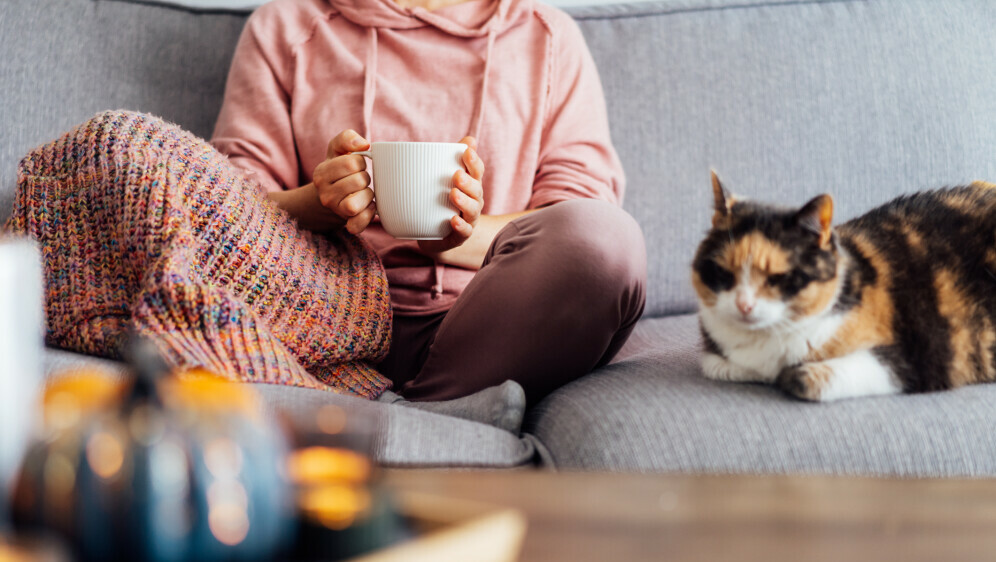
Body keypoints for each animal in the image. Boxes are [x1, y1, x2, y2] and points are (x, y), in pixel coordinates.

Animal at [696, 173, 996, 400]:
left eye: (778, 278)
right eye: (723, 273)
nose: (744, 305)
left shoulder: (915, 357)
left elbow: (805, 379)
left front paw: (792, 374)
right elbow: (714, 364)